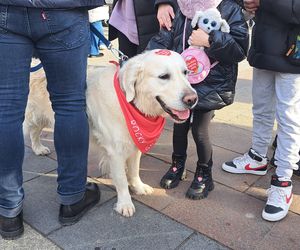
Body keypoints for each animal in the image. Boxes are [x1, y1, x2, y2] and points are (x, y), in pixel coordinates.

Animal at [24, 49, 198, 217]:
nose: (193, 99)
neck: (130, 104)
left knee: (35, 131)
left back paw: (39, 148)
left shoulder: (134, 144)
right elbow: (121, 179)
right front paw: (125, 204)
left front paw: (139, 187)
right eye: (164, 76)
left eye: (185, 72)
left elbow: (134, 170)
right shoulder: (115, 152)